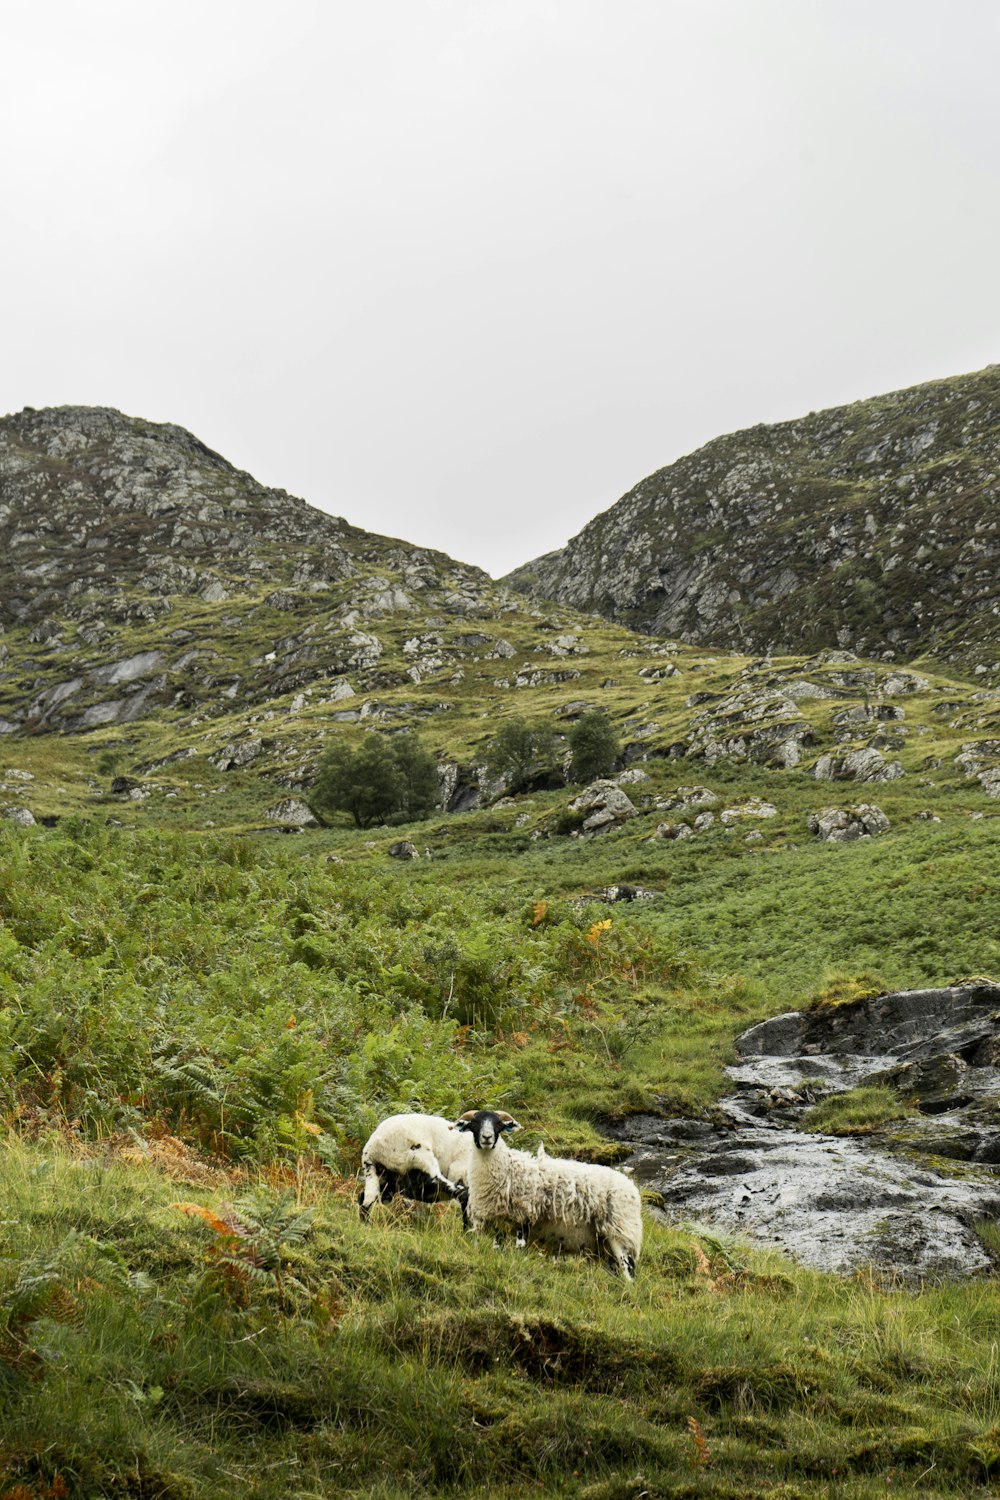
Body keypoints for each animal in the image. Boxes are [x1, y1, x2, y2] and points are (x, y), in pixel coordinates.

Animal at [452, 1104, 641, 1278]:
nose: (487, 1138)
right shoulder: (494, 1223)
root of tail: (631, 1188)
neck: (506, 1167)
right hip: (604, 1244)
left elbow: (520, 1247)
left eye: (498, 1124)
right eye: (474, 1123)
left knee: (628, 1270)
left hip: (621, 1232)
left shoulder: (524, 1215)